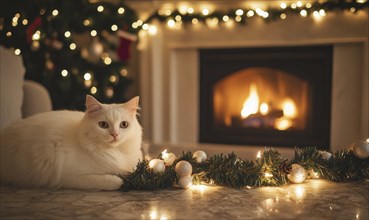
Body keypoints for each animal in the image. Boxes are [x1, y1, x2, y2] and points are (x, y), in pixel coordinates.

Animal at [0, 95, 142, 190]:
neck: (115, 152)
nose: (115, 135)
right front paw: (121, 181)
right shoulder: (71, 177)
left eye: (123, 125)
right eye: (103, 125)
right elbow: (111, 181)